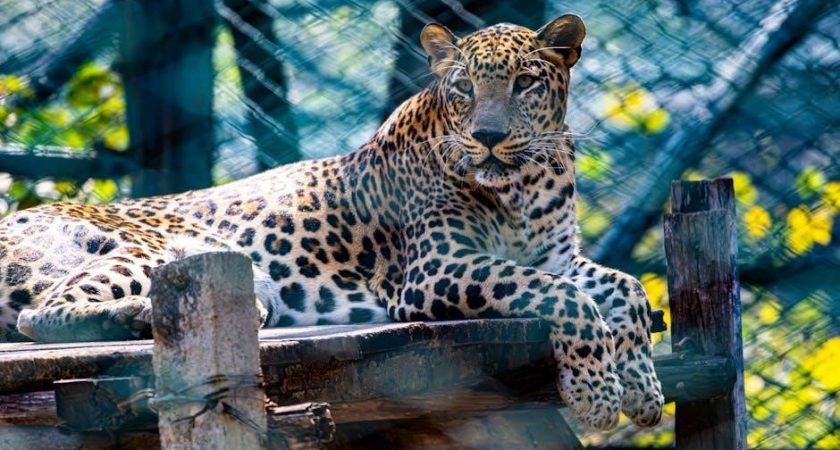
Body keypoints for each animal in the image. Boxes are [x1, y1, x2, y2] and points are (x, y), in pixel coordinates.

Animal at [0, 15, 663, 430]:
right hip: (160, 250)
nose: (490, 137)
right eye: (464, 88)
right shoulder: (435, 269)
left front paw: (643, 390)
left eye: (525, 83)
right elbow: (563, 297)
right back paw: (137, 315)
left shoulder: (557, 257)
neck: (525, 186)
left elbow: (624, 289)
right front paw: (596, 395)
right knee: (43, 313)